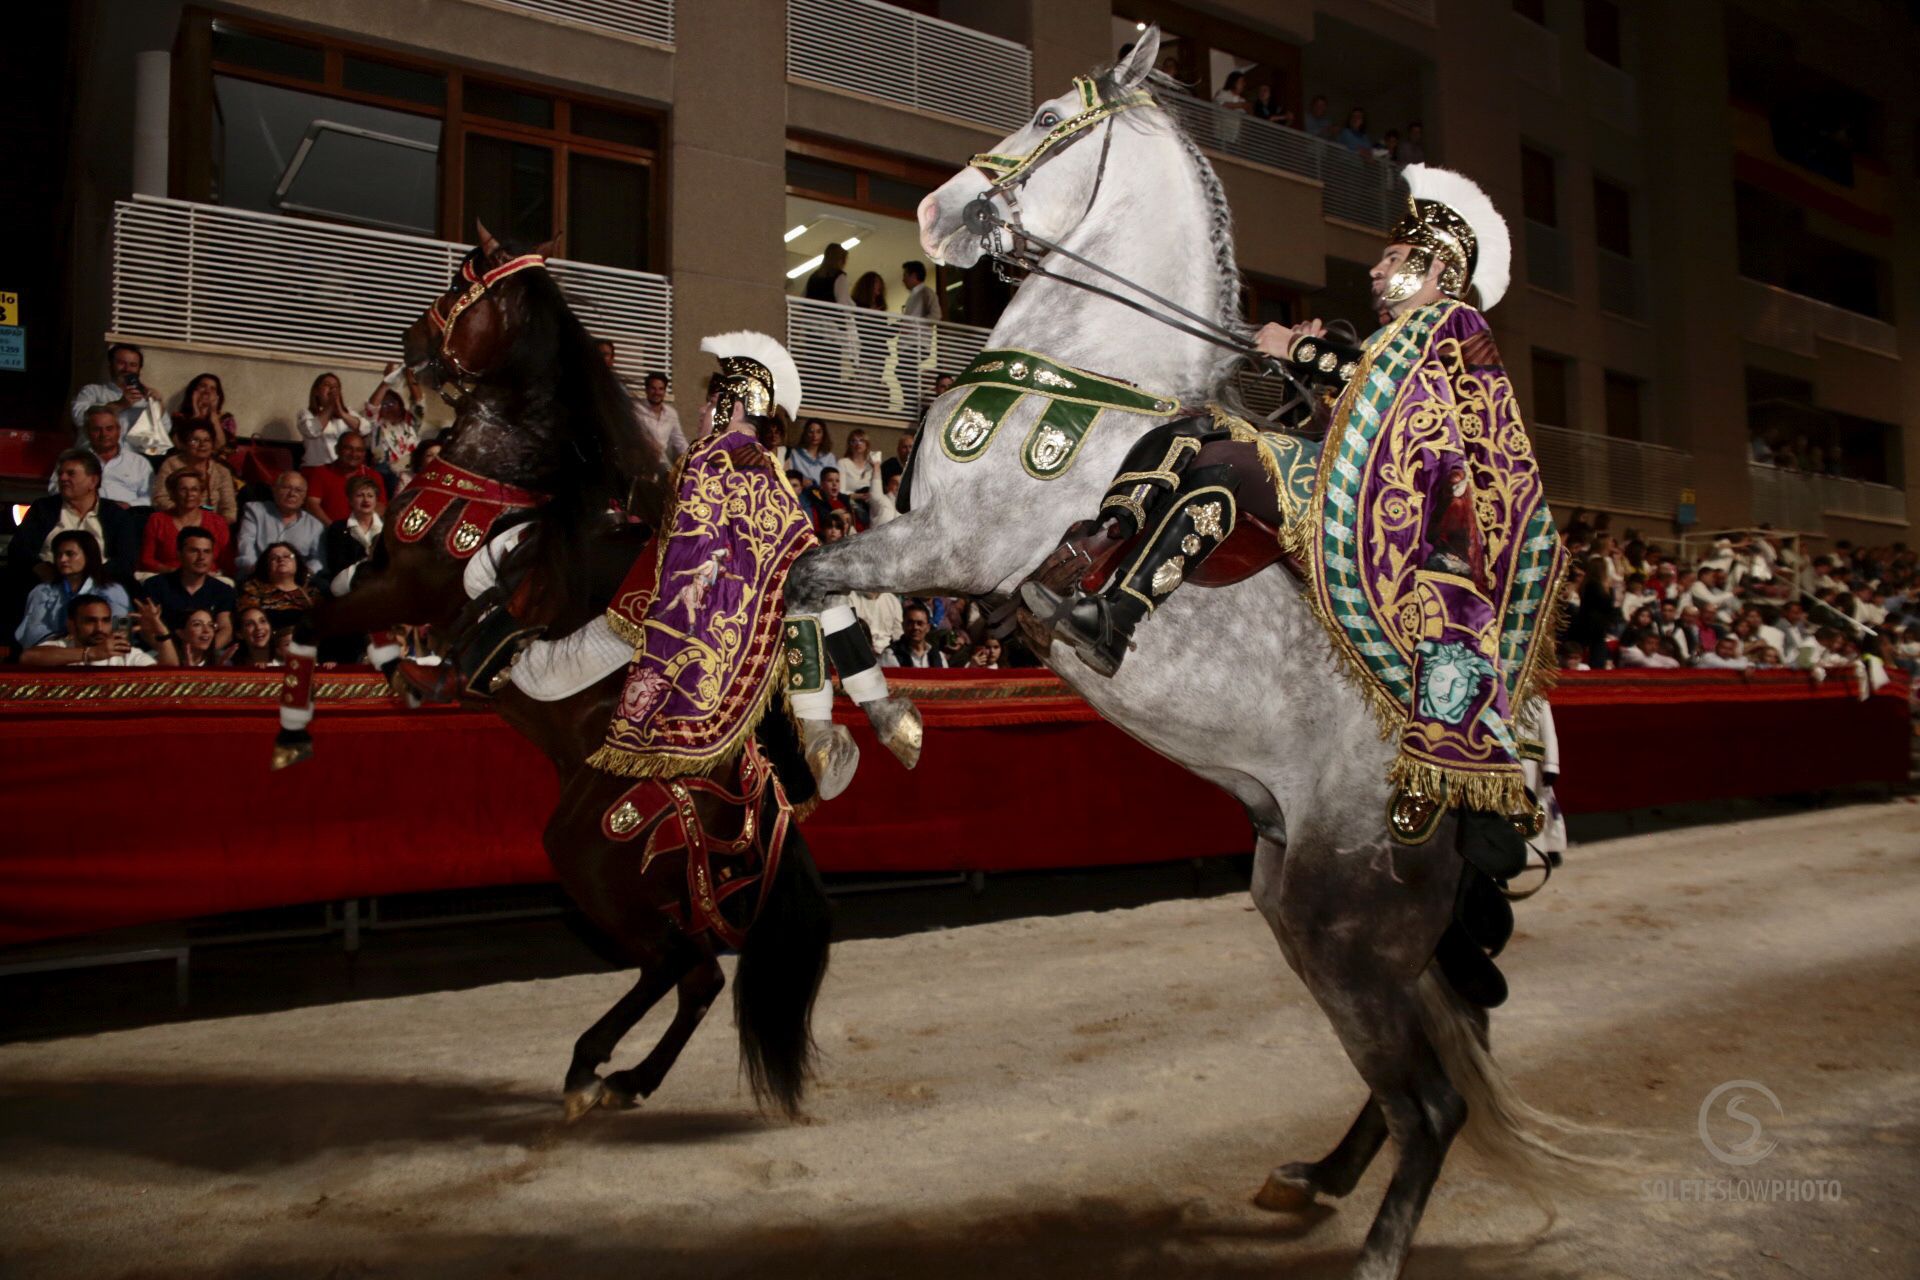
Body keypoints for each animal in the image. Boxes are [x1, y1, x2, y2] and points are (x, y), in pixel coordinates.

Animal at [787, 29, 1612, 1280]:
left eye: (1045, 116)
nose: (937, 213)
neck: (1089, 369)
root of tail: (1481, 778)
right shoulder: (925, 551)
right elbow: (832, 599)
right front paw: (870, 716)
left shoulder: (950, 546)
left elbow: (804, 580)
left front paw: (857, 726)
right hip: (1332, 916)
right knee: (1422, 1066)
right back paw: (1312, 1178)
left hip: (1338, 921)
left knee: (1431, 1101)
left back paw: (1372, 1242)